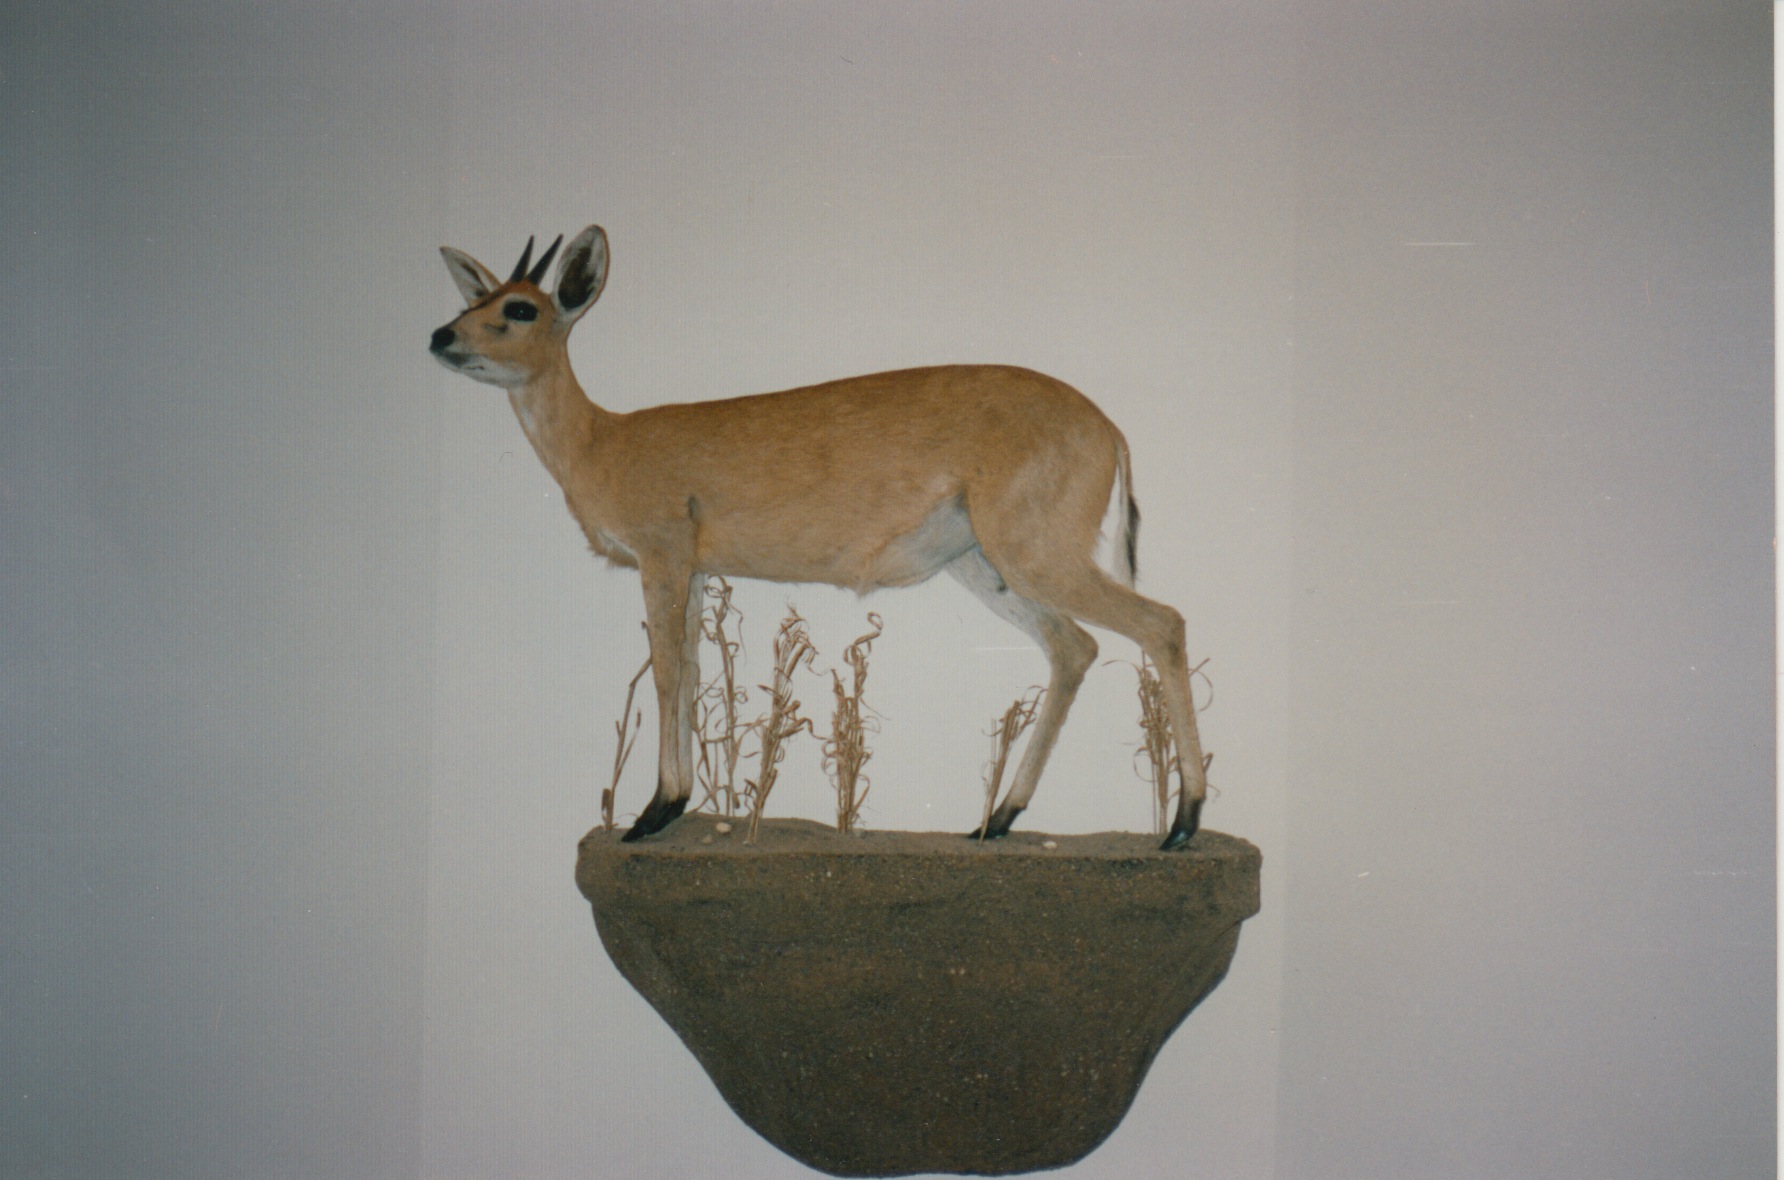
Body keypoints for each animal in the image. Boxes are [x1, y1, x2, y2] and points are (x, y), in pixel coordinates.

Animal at [429, 226, 1209, 850]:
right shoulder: (695, 572)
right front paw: (672, 808)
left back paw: (1181, 825)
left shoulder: (662, 556)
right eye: (475, 300)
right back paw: (994, 821)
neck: (603, 442)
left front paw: (651, 814)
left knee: (1160, 623)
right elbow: (690, 670)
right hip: (986, 566)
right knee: (1075, 648)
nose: (441, 337)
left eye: (520, 308)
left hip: (1034, 556)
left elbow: (667, 671)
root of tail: (1108, 428)